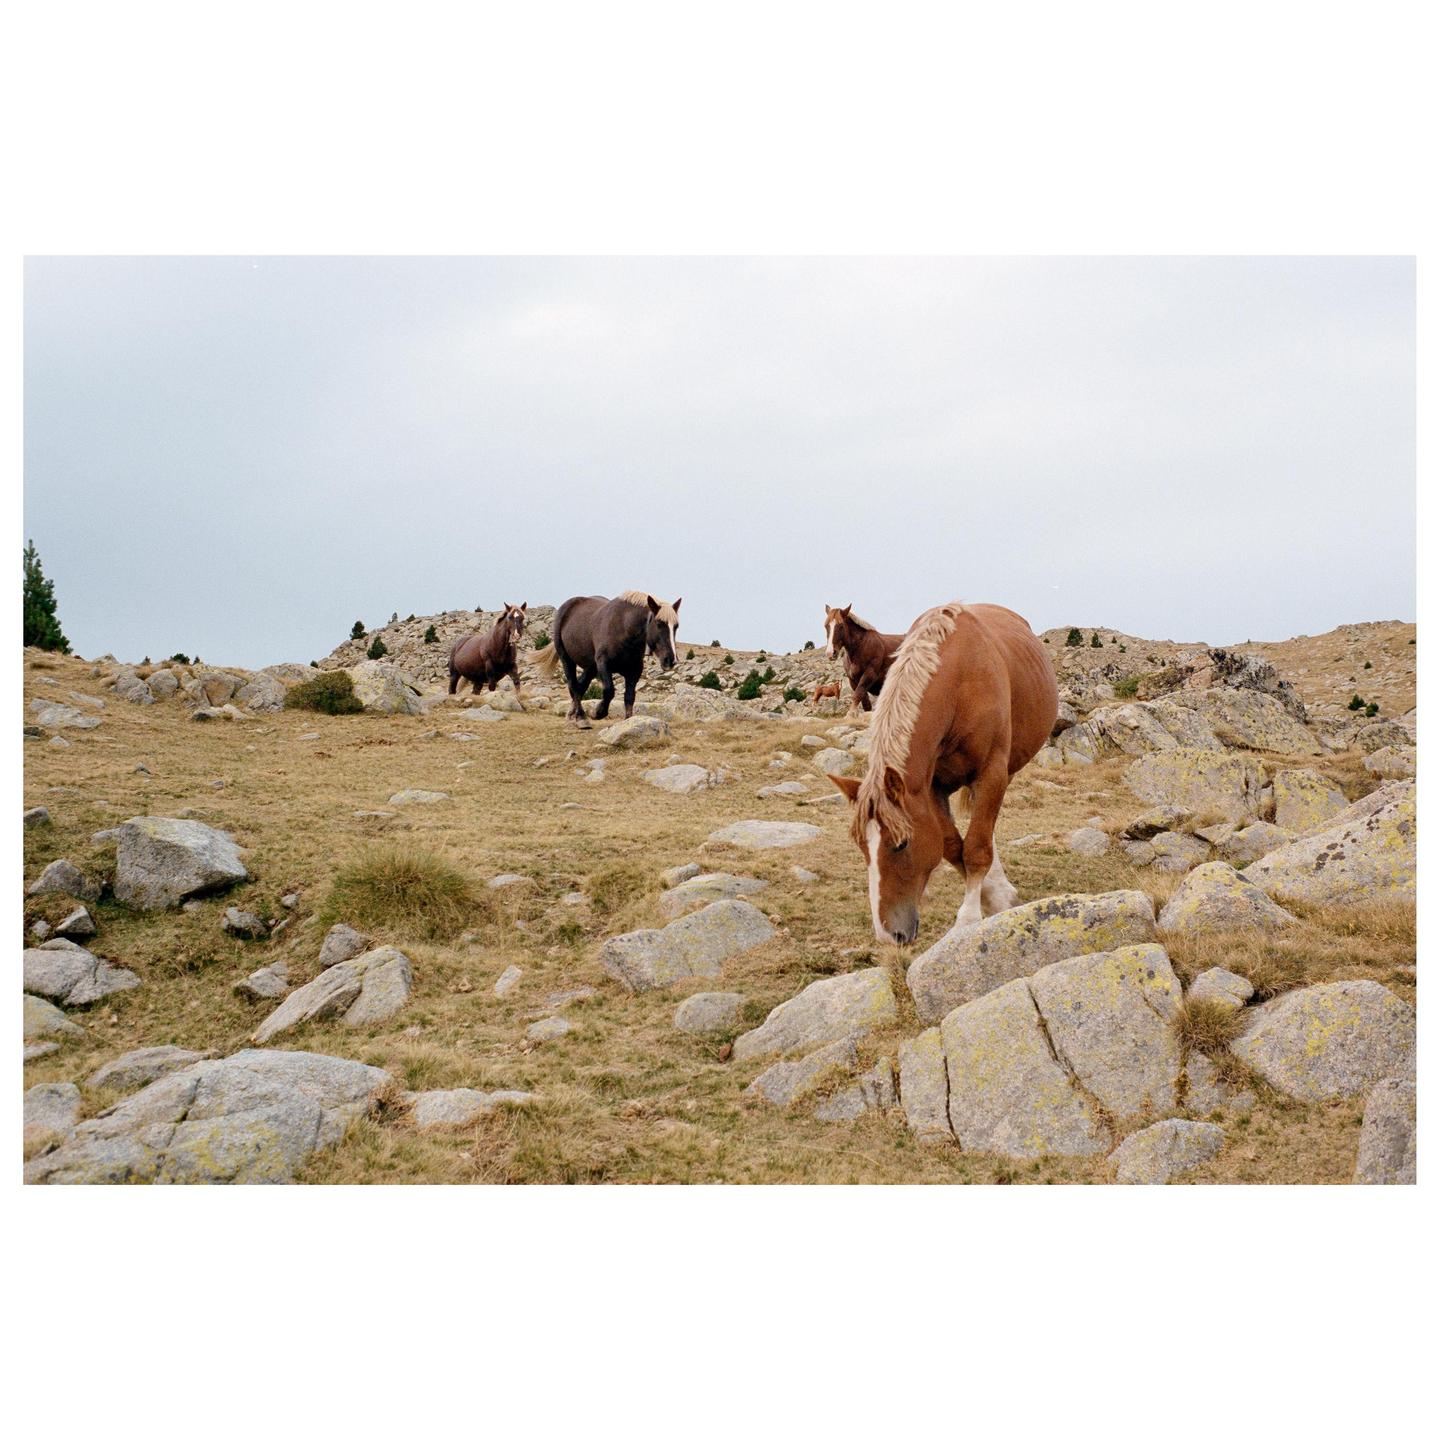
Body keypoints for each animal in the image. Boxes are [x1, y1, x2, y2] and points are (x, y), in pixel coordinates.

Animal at [533, 591, 680, 728]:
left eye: (676, 626)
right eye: (659, 623)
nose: (670, 660)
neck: (623, 629)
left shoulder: (634, 671)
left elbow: (629, 697)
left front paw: (627, 723)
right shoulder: (603, 665)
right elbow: (609, 690)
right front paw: (598, 713)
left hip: (590, 667)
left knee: (580, 687)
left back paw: (571, 715)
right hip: (567, 659)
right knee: (573, 686)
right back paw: (581, 718)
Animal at [829, 602, 1057, 945]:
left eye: (901, 844)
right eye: (860, 846)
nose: (888, 936)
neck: (959, 686)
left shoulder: (991, 773)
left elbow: (975, 848)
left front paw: (968, 920)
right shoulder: (930, 788)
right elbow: (953, 847)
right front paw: (993, 897)